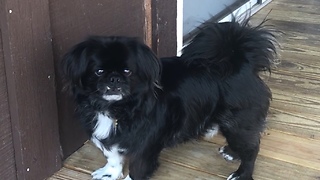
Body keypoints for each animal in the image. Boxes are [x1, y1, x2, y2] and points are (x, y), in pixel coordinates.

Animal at [62, 19, 278, 179]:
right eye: (98, 72)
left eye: (127, 71)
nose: (114, 78)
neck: (118, 108)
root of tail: (241, 61)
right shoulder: (110, 139)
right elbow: (113, 158)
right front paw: (109, 174)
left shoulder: (145, 147)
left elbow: (137, 170)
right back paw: (232, 153)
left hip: (237, 122)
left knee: (252, 149)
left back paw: (242, 174)